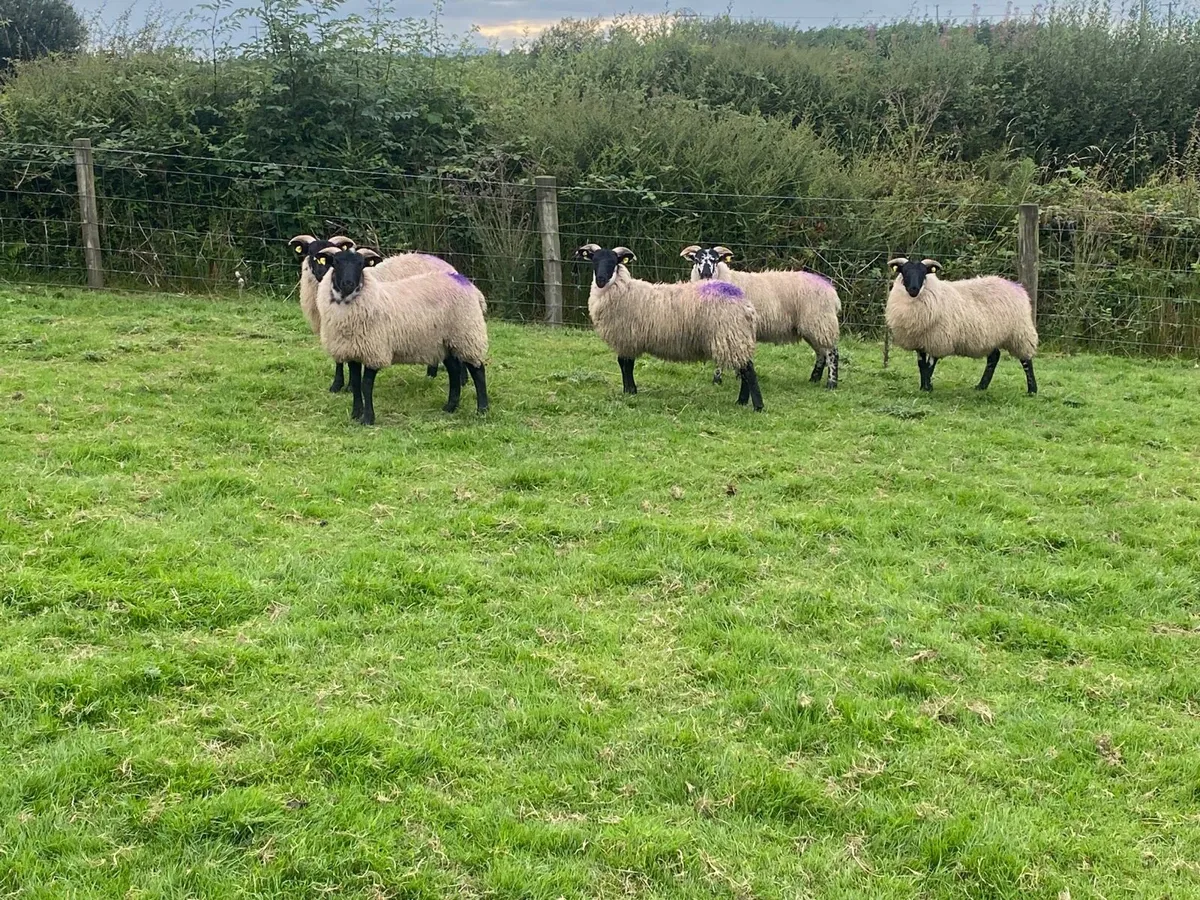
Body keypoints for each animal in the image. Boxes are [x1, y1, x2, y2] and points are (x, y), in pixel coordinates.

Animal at [314, 247, 490, 426]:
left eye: (361, 264)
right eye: (336, 262)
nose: (348, 284)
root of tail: (465, 282)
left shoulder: (375, 351)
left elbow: (366, 385)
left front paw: (368, 419)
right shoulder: (353, 350)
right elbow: (356, 384)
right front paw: (356, 414)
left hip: (466, 334)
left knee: (478, 370)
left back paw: (482, 410)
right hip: (444, 341)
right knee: (454, 370)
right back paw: (450, 406)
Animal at [571, 243, 763, 410]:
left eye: (614, 262)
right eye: (594, 261)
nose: (601, 280)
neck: (623, 289)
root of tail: (745, 304)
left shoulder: (627, 338)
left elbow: (626, 364)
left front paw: (629, 390)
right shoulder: (628, 339)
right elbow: (625, 364)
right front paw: (630, 390)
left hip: (731, 336)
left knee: (748, 371)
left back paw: (757, 406)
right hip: (735, 338)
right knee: (744, 369)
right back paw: (742, 401)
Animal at [682, 245, 841, 389]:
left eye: (715, 260)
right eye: (697, 260)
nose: (706, 274)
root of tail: (832, 291)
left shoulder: (725, 326)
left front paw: (717, 380)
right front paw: (739, 376)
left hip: (820, 322)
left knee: (832, 352)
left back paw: (831, 383)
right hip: (812, 326)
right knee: (821, 353)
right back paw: (814, 379)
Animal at [885, 257, 1039, 394]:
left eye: (924, 273)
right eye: (904, 271)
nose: (913, 289)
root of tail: (1017, 287)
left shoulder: (939, 339)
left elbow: (930, 365)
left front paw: (928, 388)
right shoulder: (920, 340)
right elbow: (922, 365)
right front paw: (924, 388)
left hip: (1020, 332)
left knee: (1026, 360)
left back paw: (1032, 390)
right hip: (991, 336)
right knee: (994, 357)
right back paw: (981, 386)